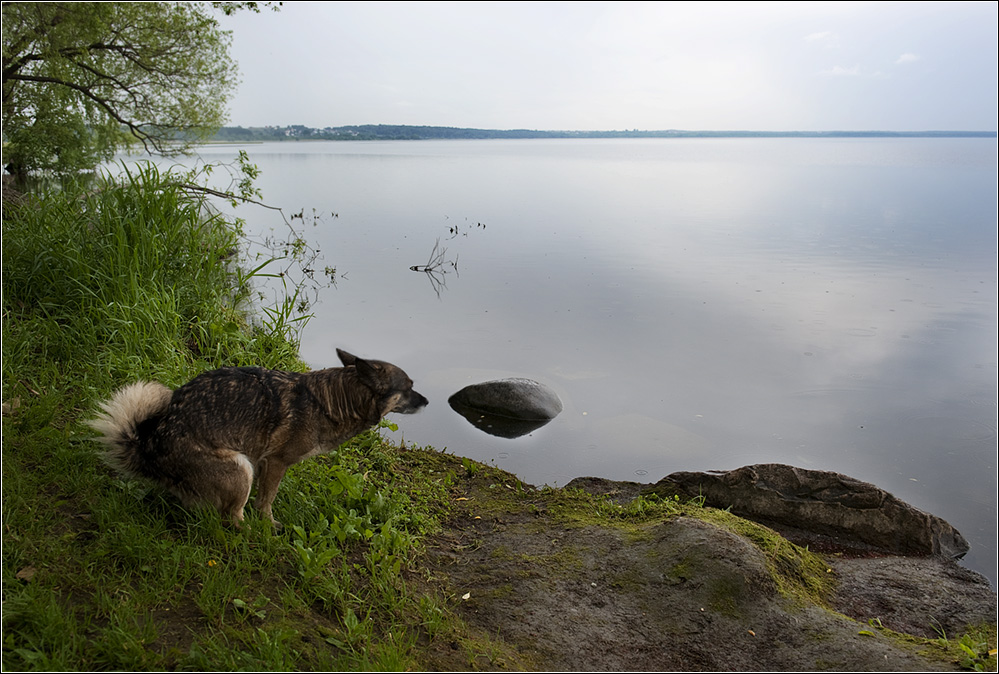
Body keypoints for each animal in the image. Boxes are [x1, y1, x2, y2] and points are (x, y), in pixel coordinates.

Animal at [88, 350, 428, 528]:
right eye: (408, 387)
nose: (427, 402)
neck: (331, 400)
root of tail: (150, 449)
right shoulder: (275, 462)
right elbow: (267, 500)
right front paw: (268, 524)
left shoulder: (264, 462)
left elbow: (264, 497)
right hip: (241, 469)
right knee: (231, 518)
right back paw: (251, 532)